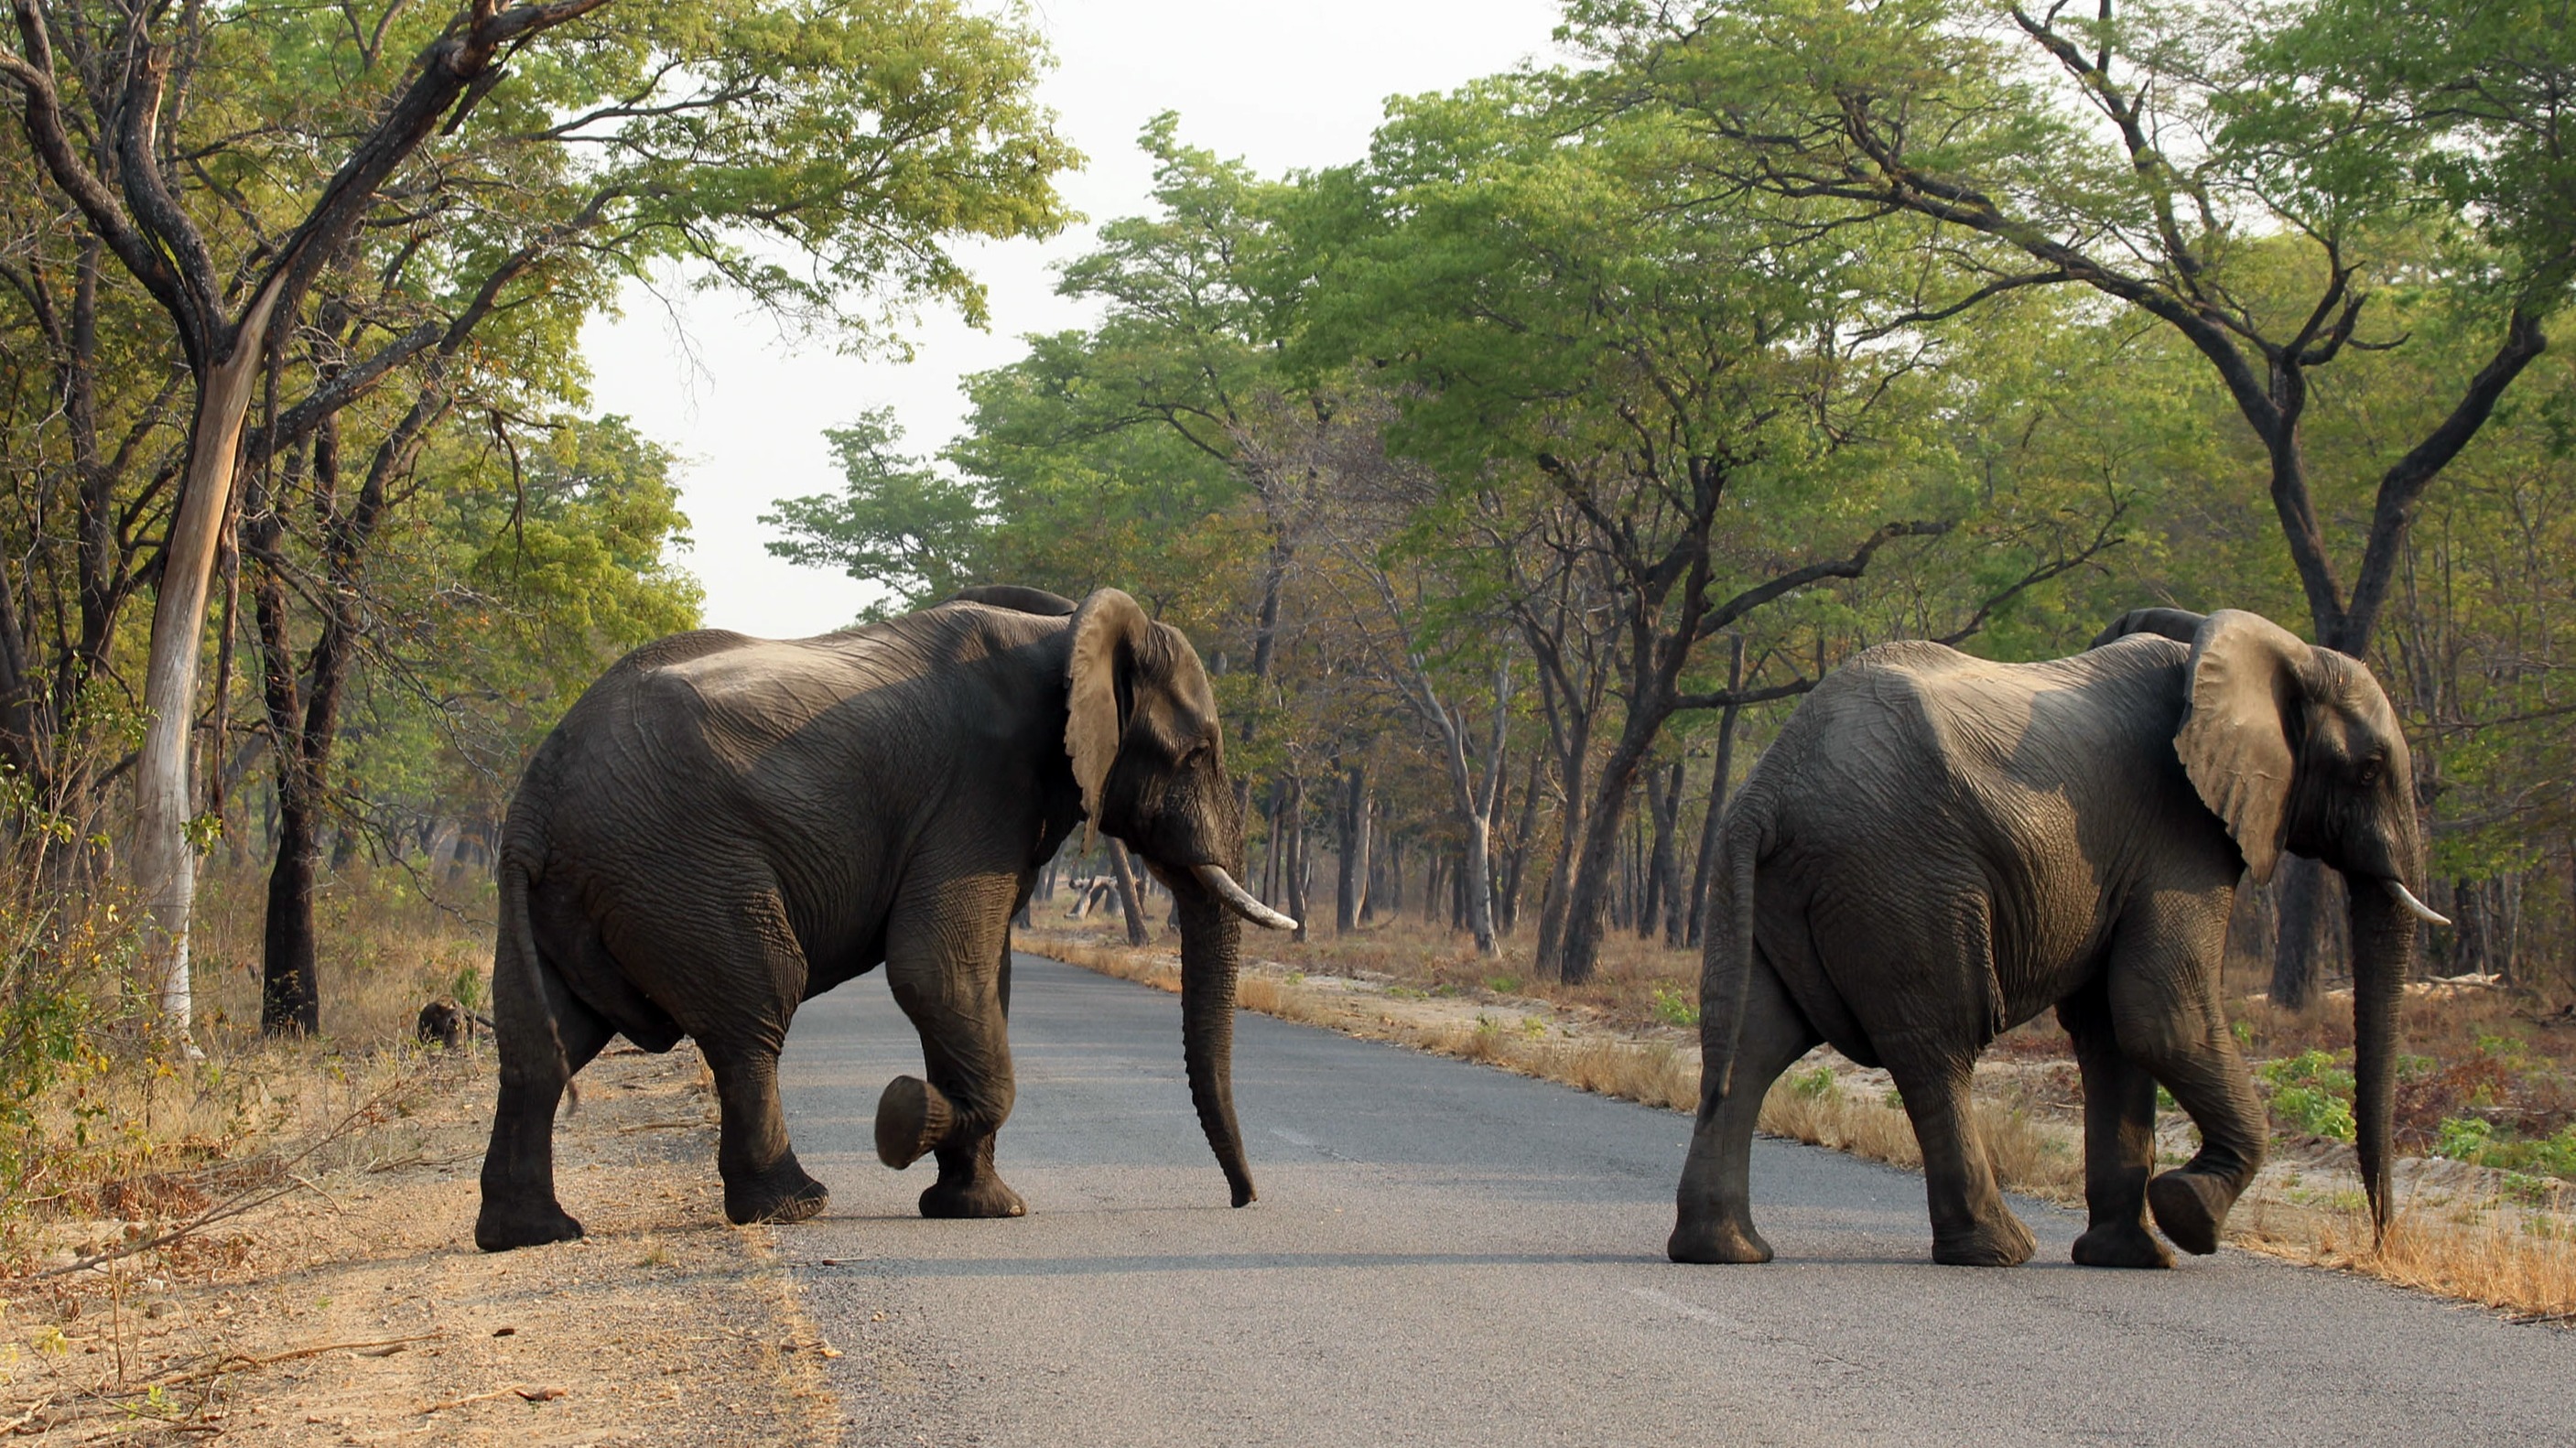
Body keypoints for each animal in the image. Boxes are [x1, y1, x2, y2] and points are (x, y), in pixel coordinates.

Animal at [469, 579, 1288, 1247]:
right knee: (756, 1008)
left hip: (580, 888)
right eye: (1198, 753)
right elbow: (935, 972)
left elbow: (980, 982)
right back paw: (794, 1205)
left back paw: (532, 1234)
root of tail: (536, 795)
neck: (1064, 630)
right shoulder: (980, 789)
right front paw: (900, 1121)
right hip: (677, 863)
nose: (1243, 1200)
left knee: (543, 1043)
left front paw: (979, 1208)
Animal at [1659, 605, 2441, 1262]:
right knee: (1935, 1047)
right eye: (2368, 771)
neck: (2258, 647)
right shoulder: (2179, 833)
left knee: (1751, 1042)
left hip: (1782, 885)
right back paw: (1999, 1250)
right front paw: (2189, 1216)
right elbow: (2161, 1013)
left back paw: (1725, 1251)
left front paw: (2132, 1258)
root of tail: (1767, 791)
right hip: (1902, 878)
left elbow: (2112, 1030)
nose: (2382, 1241)